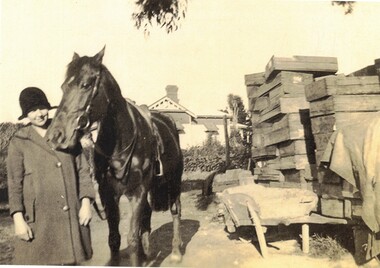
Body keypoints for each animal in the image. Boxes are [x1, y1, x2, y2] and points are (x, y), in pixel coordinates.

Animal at [46, 46, 183, 266]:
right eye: (63, 87)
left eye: (85, 85)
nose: (55, 135)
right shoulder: (109, 195)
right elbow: (114, 239)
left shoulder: (138, 192)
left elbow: (132, 238)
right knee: (147, 216)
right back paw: (147, 254)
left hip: (174, 181)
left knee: (175, 211)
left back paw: (176, 251)